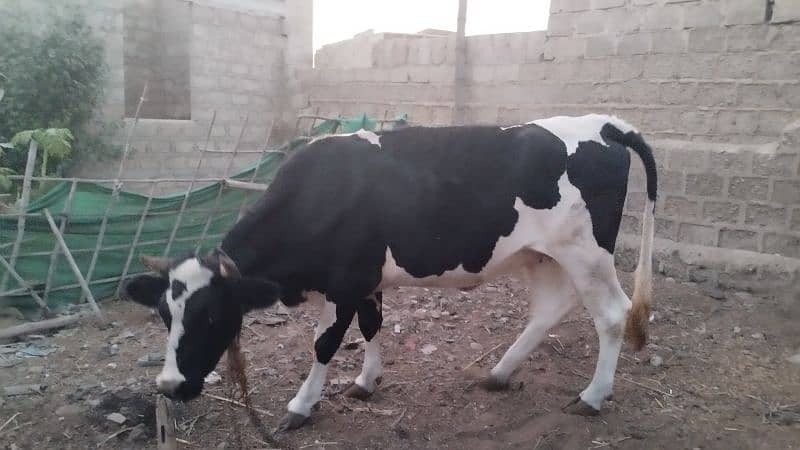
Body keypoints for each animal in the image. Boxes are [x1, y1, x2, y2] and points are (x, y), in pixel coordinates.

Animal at [126, 114, 656, 430]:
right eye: (164, 316)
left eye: (213, 317)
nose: (169, 386)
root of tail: (604, 124)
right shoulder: (365, 281)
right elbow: (371, 325)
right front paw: (366, 381)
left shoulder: (343, 282)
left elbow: (324, 344)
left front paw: (301, 405)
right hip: (542, 255)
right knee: (549, 310)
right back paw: (500, 373)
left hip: (587, 253)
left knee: (613, 315)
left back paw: (592, 396)